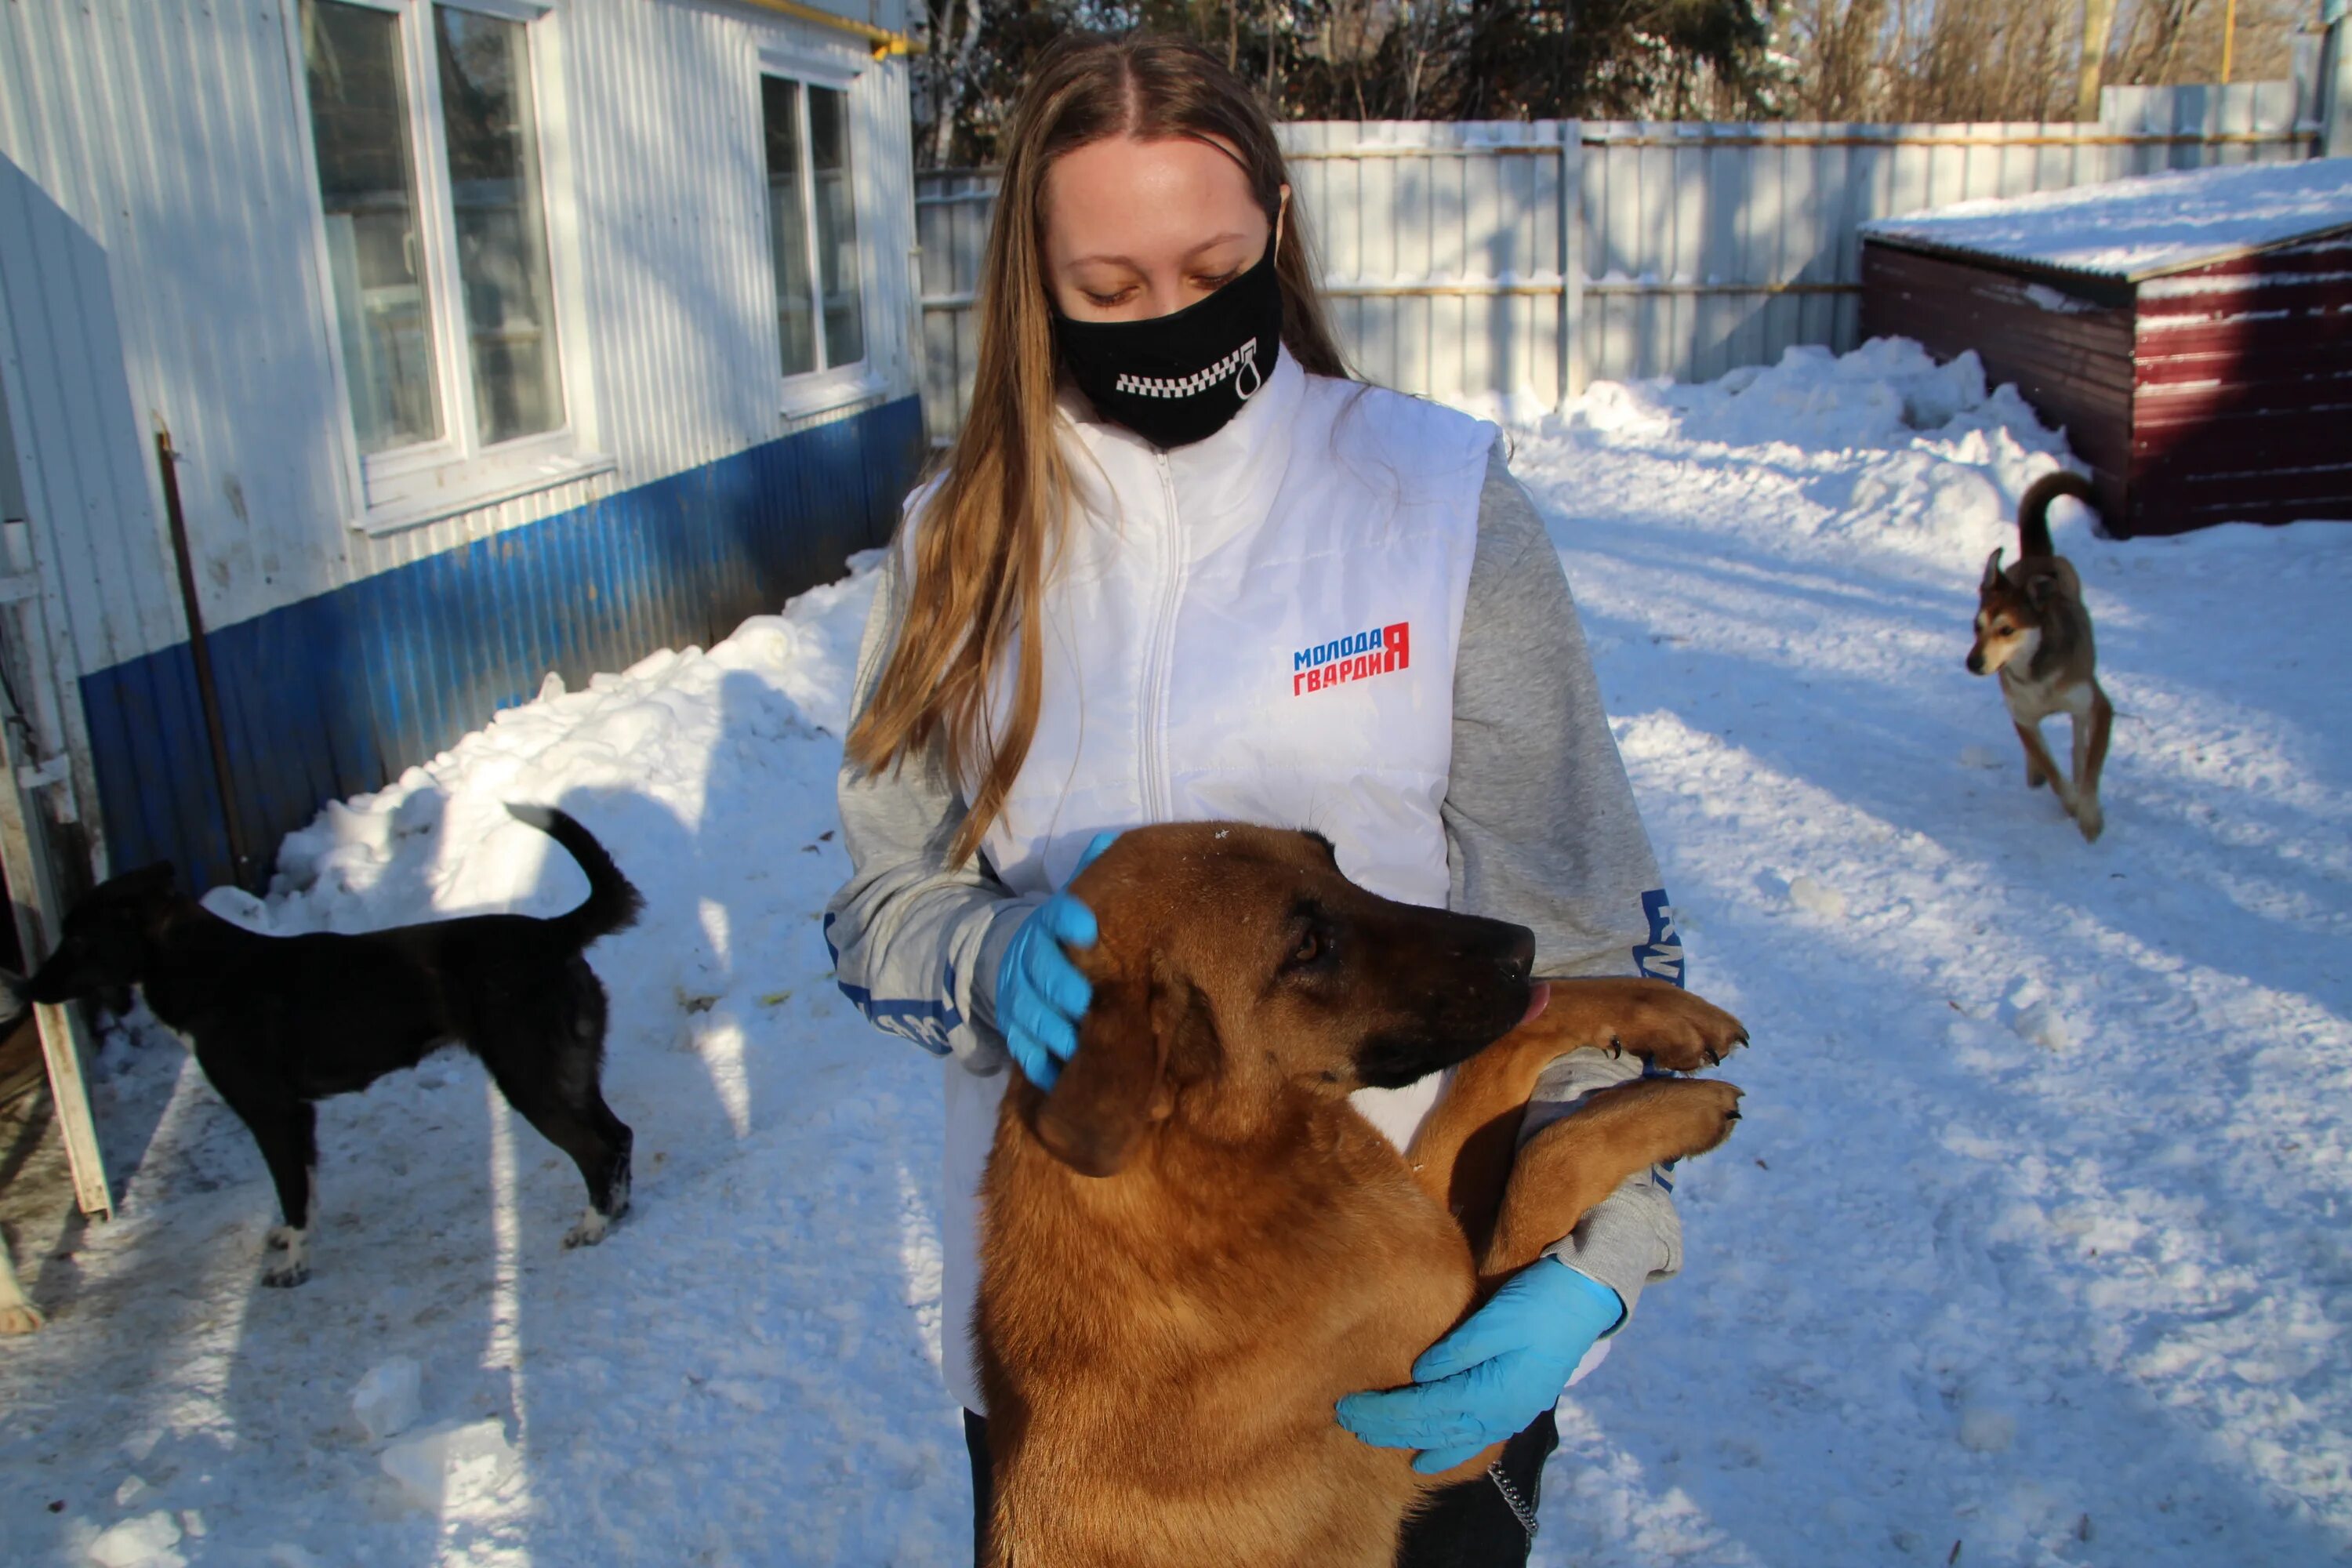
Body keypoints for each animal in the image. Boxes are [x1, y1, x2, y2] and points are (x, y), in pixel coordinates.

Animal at [25, 808, 644, 1288]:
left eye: (77, 939)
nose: (26, 988)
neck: (207, 969)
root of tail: (552, 932)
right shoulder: (299, 1117)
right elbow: (306, 1192)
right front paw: (290, 1240)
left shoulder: (271, 1114)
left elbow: (294, 1192)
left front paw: (294, 1269)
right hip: (570, 1071)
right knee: (618, 1137)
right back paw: (616, 1211)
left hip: (529, 1077)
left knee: (594, 1150)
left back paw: (592, 1225)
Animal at [974, 827, 1750, 1561]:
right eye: (1308, 948)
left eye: (1333, 861)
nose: (1523, 948)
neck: (1219, 1154)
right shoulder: (1458, 1423)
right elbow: (1546, 1159)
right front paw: (1682, 1111)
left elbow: (1513, 1046)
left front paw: (1664, 1011)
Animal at [1966, 472, 2117, 841]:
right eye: (1976, 626)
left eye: (2007, 630)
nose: (1972, 663)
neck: (2035, 673)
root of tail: (2037, 556)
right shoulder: (2022, 718)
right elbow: (2051, 770)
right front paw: (2071, 802)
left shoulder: (2099, 707)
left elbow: (2091, 771)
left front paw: (2089, 817)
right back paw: (2036, 773)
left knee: (2079, 739)